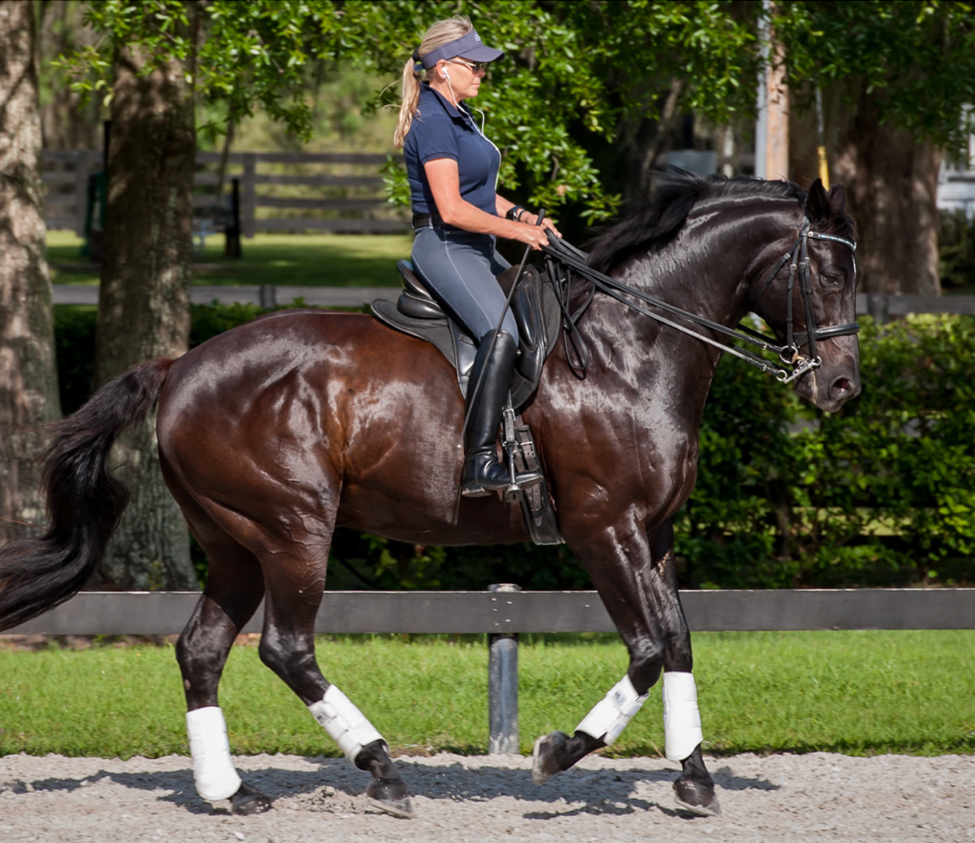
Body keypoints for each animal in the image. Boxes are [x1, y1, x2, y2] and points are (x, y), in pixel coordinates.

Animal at [0, 170, 859, 819]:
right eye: (826, 273)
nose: (841, 388)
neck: (628, 348)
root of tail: (179, 365)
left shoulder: (653, 533)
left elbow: (677, 643)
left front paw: (694, 778)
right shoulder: (602, 527)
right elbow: (647, 650)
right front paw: (557, 751)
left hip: (234, 540)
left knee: (202, 648)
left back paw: (231, 791)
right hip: (291, 528)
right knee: (286, 645)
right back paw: (380, 768)